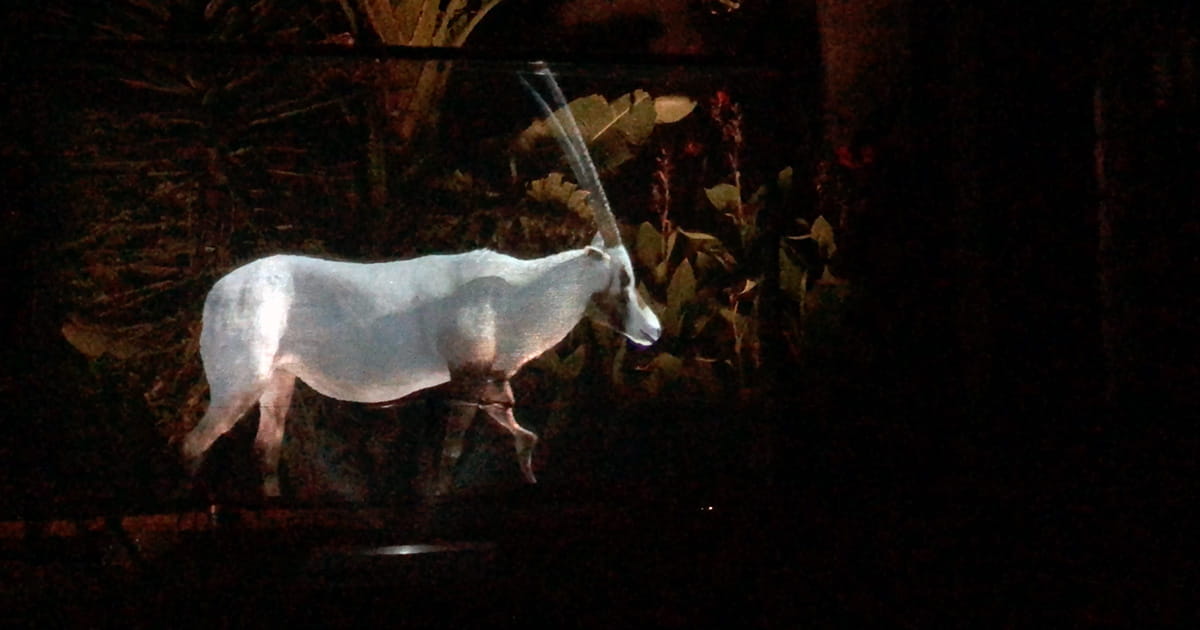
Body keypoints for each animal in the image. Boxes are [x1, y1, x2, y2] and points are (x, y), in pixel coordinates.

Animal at [181, 63, 662, 497]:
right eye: (623, 277)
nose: (653, 331)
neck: (515, 291)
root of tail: (216, 294)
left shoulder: (492, 386)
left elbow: (525, 438)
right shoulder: (467, 382)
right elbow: (451, 454)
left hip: (279, 381)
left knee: (265, 449)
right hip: (239, 384)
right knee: (194, 445)